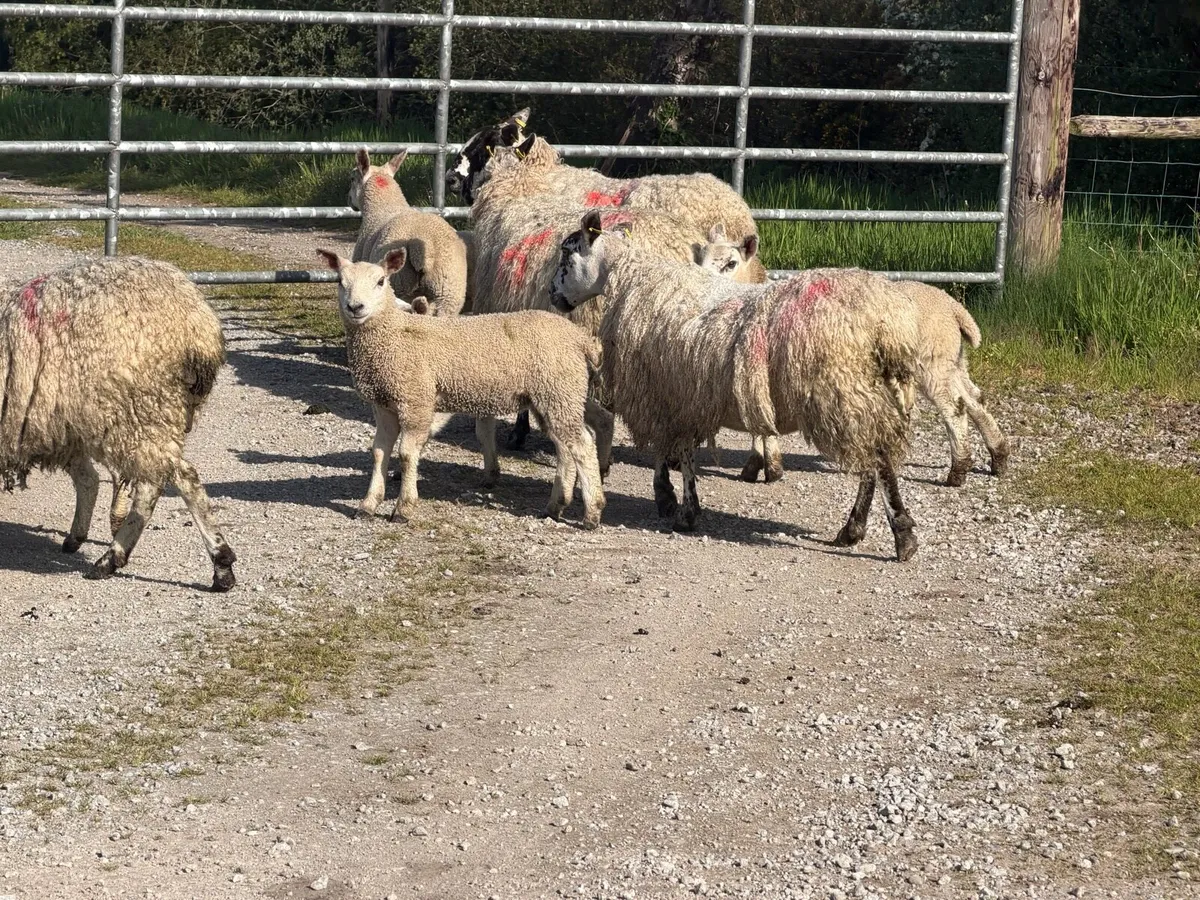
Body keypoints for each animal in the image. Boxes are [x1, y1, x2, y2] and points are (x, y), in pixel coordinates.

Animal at [316, 247, 605, 529]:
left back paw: (592, 513)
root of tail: (579, 337)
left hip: (559, 391)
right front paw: (368, 504)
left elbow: (407, 454)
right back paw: (556, 505)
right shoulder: (383, 404)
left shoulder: (416, 400)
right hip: (552, 396)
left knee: (583, 445)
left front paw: (403, 508)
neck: (394, 335)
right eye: (340, 282)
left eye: (380, 281)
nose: (355, 307)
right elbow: (379, 453)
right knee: (565, 447)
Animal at [348, 148, 468, 317]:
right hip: (449, 291)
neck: (383, 207)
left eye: (352, 178)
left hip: (399, 282)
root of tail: (426, 248)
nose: (349, 201)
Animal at [550, 211, 922, 562]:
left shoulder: (664, 392)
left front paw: (676, 504)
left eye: (567, 254)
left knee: (878, 460)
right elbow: (679, 449)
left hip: (842, 391)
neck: (632, 279)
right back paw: (855, 529)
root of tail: (883, 324)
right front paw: (678, 502)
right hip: (868, 394)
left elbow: (675, 452)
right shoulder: (682, 395)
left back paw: (900, 534)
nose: (553, 295)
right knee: (872, 460)